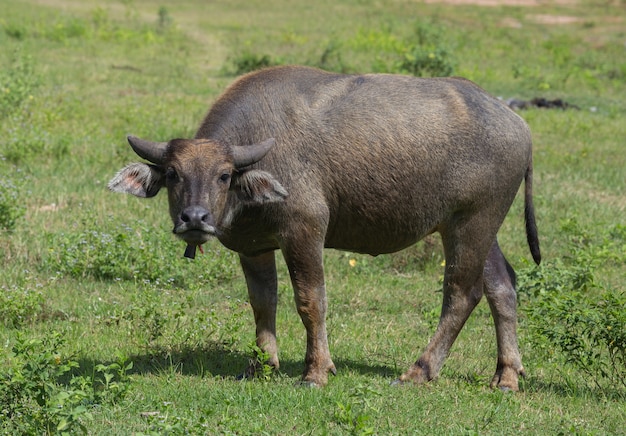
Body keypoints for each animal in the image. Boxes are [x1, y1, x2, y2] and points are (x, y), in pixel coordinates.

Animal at [107, 65, 536, 392]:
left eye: (224, 175)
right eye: (174, 174)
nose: (195, 218)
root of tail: (516, 123)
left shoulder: (304, 232)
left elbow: (310, 300)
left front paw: (315, 371)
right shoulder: (254, 247)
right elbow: (263, 302)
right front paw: (261, 365)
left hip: (472, 222)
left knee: (462, 293)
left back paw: (419, 371)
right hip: (476, 227)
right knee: (502, 286)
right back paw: (507, 376)